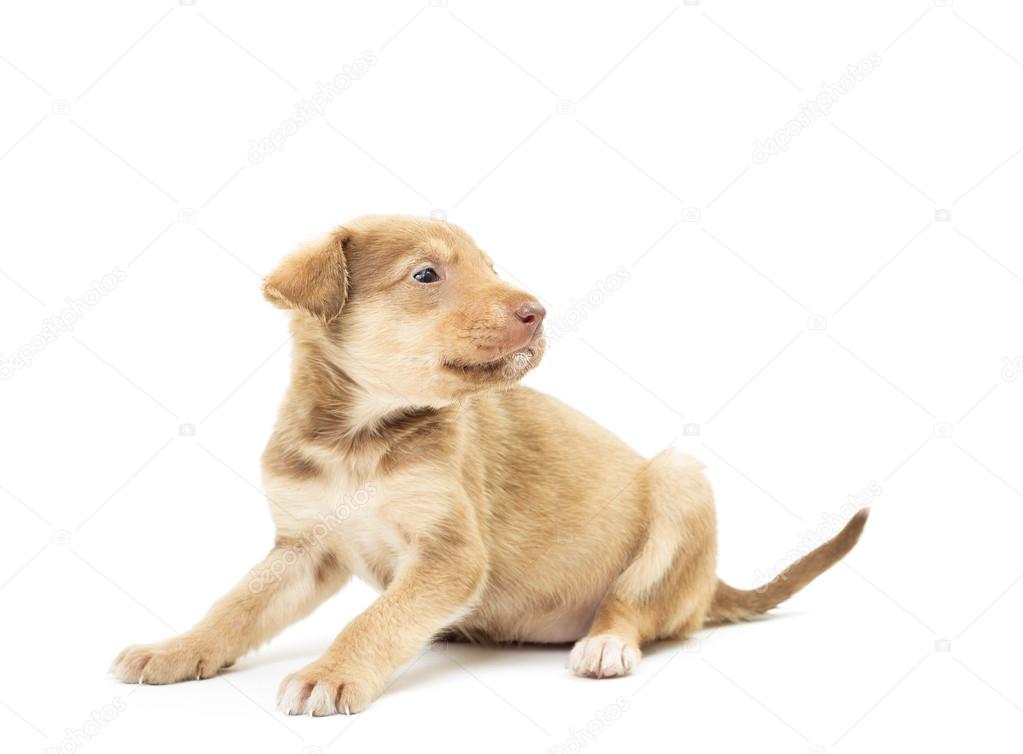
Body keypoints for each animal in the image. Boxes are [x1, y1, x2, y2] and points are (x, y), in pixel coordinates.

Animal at [112, 214, 867, 716]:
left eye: (491, 267)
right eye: (426, 274)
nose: (538, 311)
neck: (357, 437)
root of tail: (712, 587)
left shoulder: (450, 552)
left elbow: (374, 620)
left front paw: (331, 671)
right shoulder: (304, 549)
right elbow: (236, 607)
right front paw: (175, 649)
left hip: (680, 481)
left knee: (636, 606)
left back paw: (604, 646)